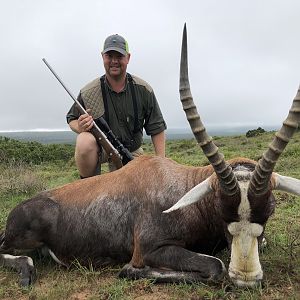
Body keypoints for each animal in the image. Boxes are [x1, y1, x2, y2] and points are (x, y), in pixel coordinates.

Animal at [0, 24, 300, 288]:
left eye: (270, 209)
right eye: (221, 209)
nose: (246, 278)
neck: (182, 187)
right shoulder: (149, 248)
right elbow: (215, 266)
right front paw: (130, 271)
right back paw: (26, 271)